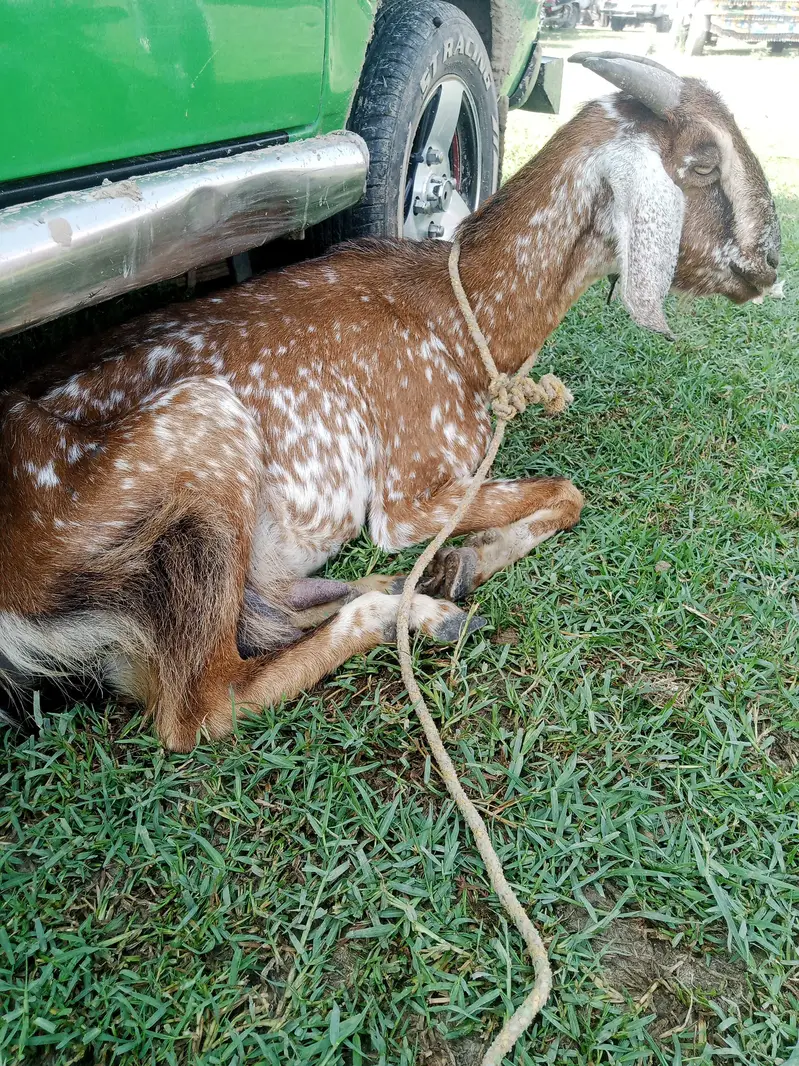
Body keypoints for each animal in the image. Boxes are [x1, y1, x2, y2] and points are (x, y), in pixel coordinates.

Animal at [0, 53, 780, 751]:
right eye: (704, 161)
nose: (770, 264)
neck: (465, 322)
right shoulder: (406, 495)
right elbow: (568, 490)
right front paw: (467, 559)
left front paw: (461, 561)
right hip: (204, 427)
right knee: (204, 703)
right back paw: (419, 612)